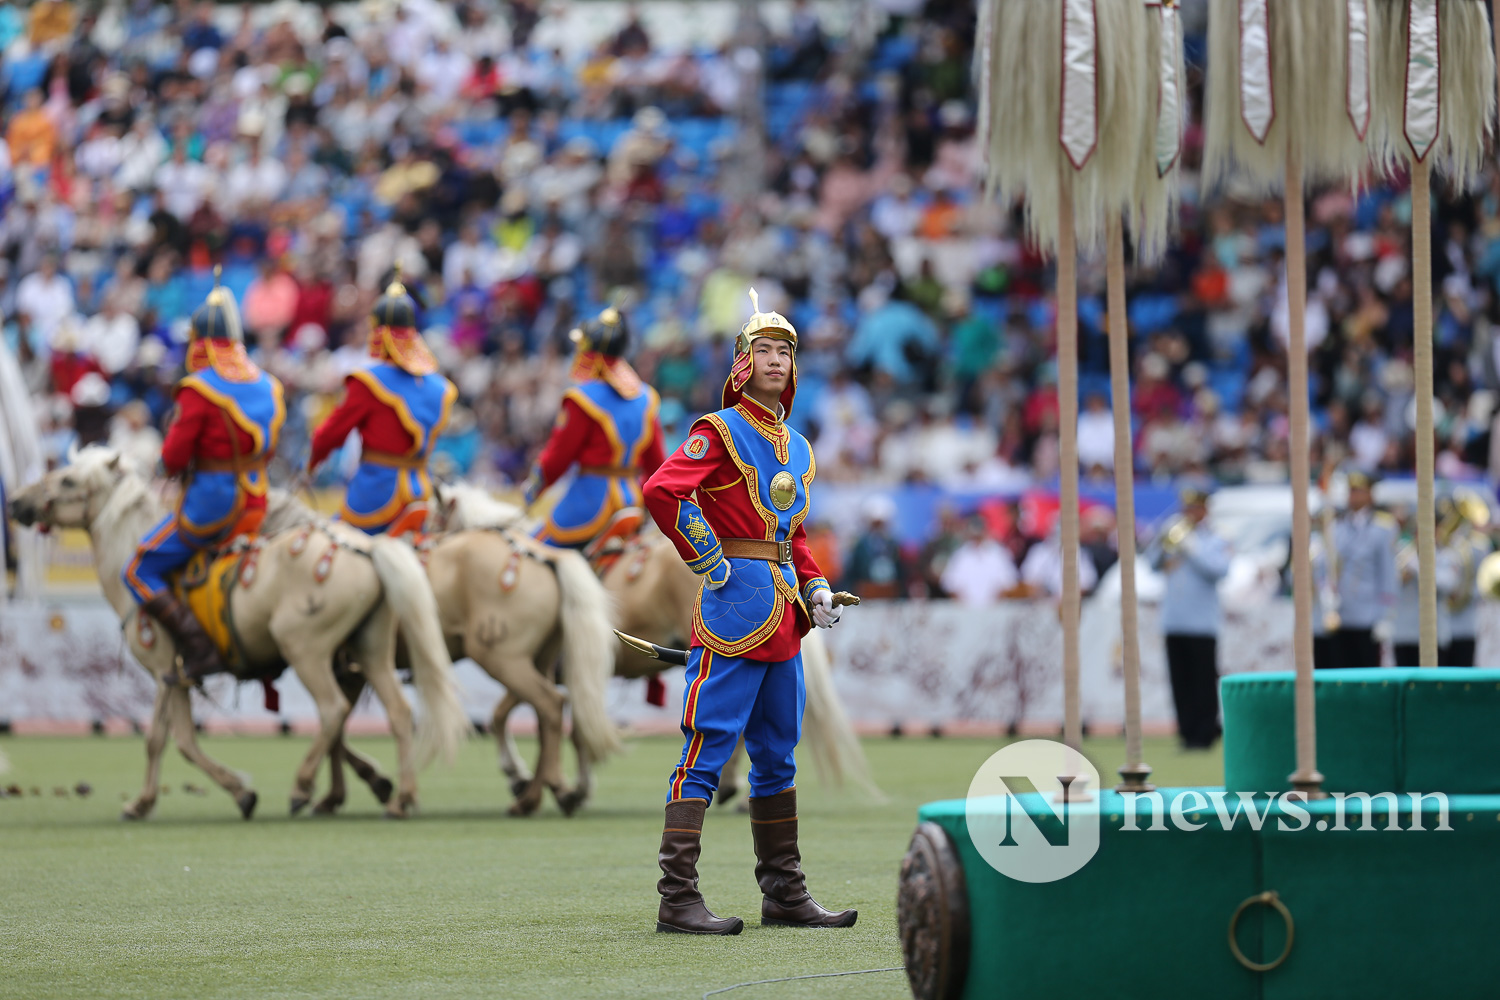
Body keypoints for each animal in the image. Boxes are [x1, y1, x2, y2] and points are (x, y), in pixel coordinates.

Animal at [5, 446, 465, 821]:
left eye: (68, 479)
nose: (15, 501)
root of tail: (366, 548)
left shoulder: (165, 670)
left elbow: (170, 740)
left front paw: (222, 794)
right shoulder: (176, 676)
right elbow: (170, 739)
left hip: (305, 650)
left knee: (333, 710)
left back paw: (303, 787)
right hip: (370, 651)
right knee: (397, 713)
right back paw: (401, 797)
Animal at [267, 497, 618, 815]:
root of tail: (544, 556)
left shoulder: (344, 667)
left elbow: (336, 727)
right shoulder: (350, 670)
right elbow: (338, 732)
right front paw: (339, 793)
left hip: (502, 659)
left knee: (550, 706)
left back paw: (539, 795)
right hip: (536, 660)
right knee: (554, 713)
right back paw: (544, 791)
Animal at [435, 482, 876, 803]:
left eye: (437, 521)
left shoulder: (540, 666)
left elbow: (526, 718)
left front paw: (542, 781)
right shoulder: (557, 669)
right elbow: (551, 722)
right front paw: (561, 783)